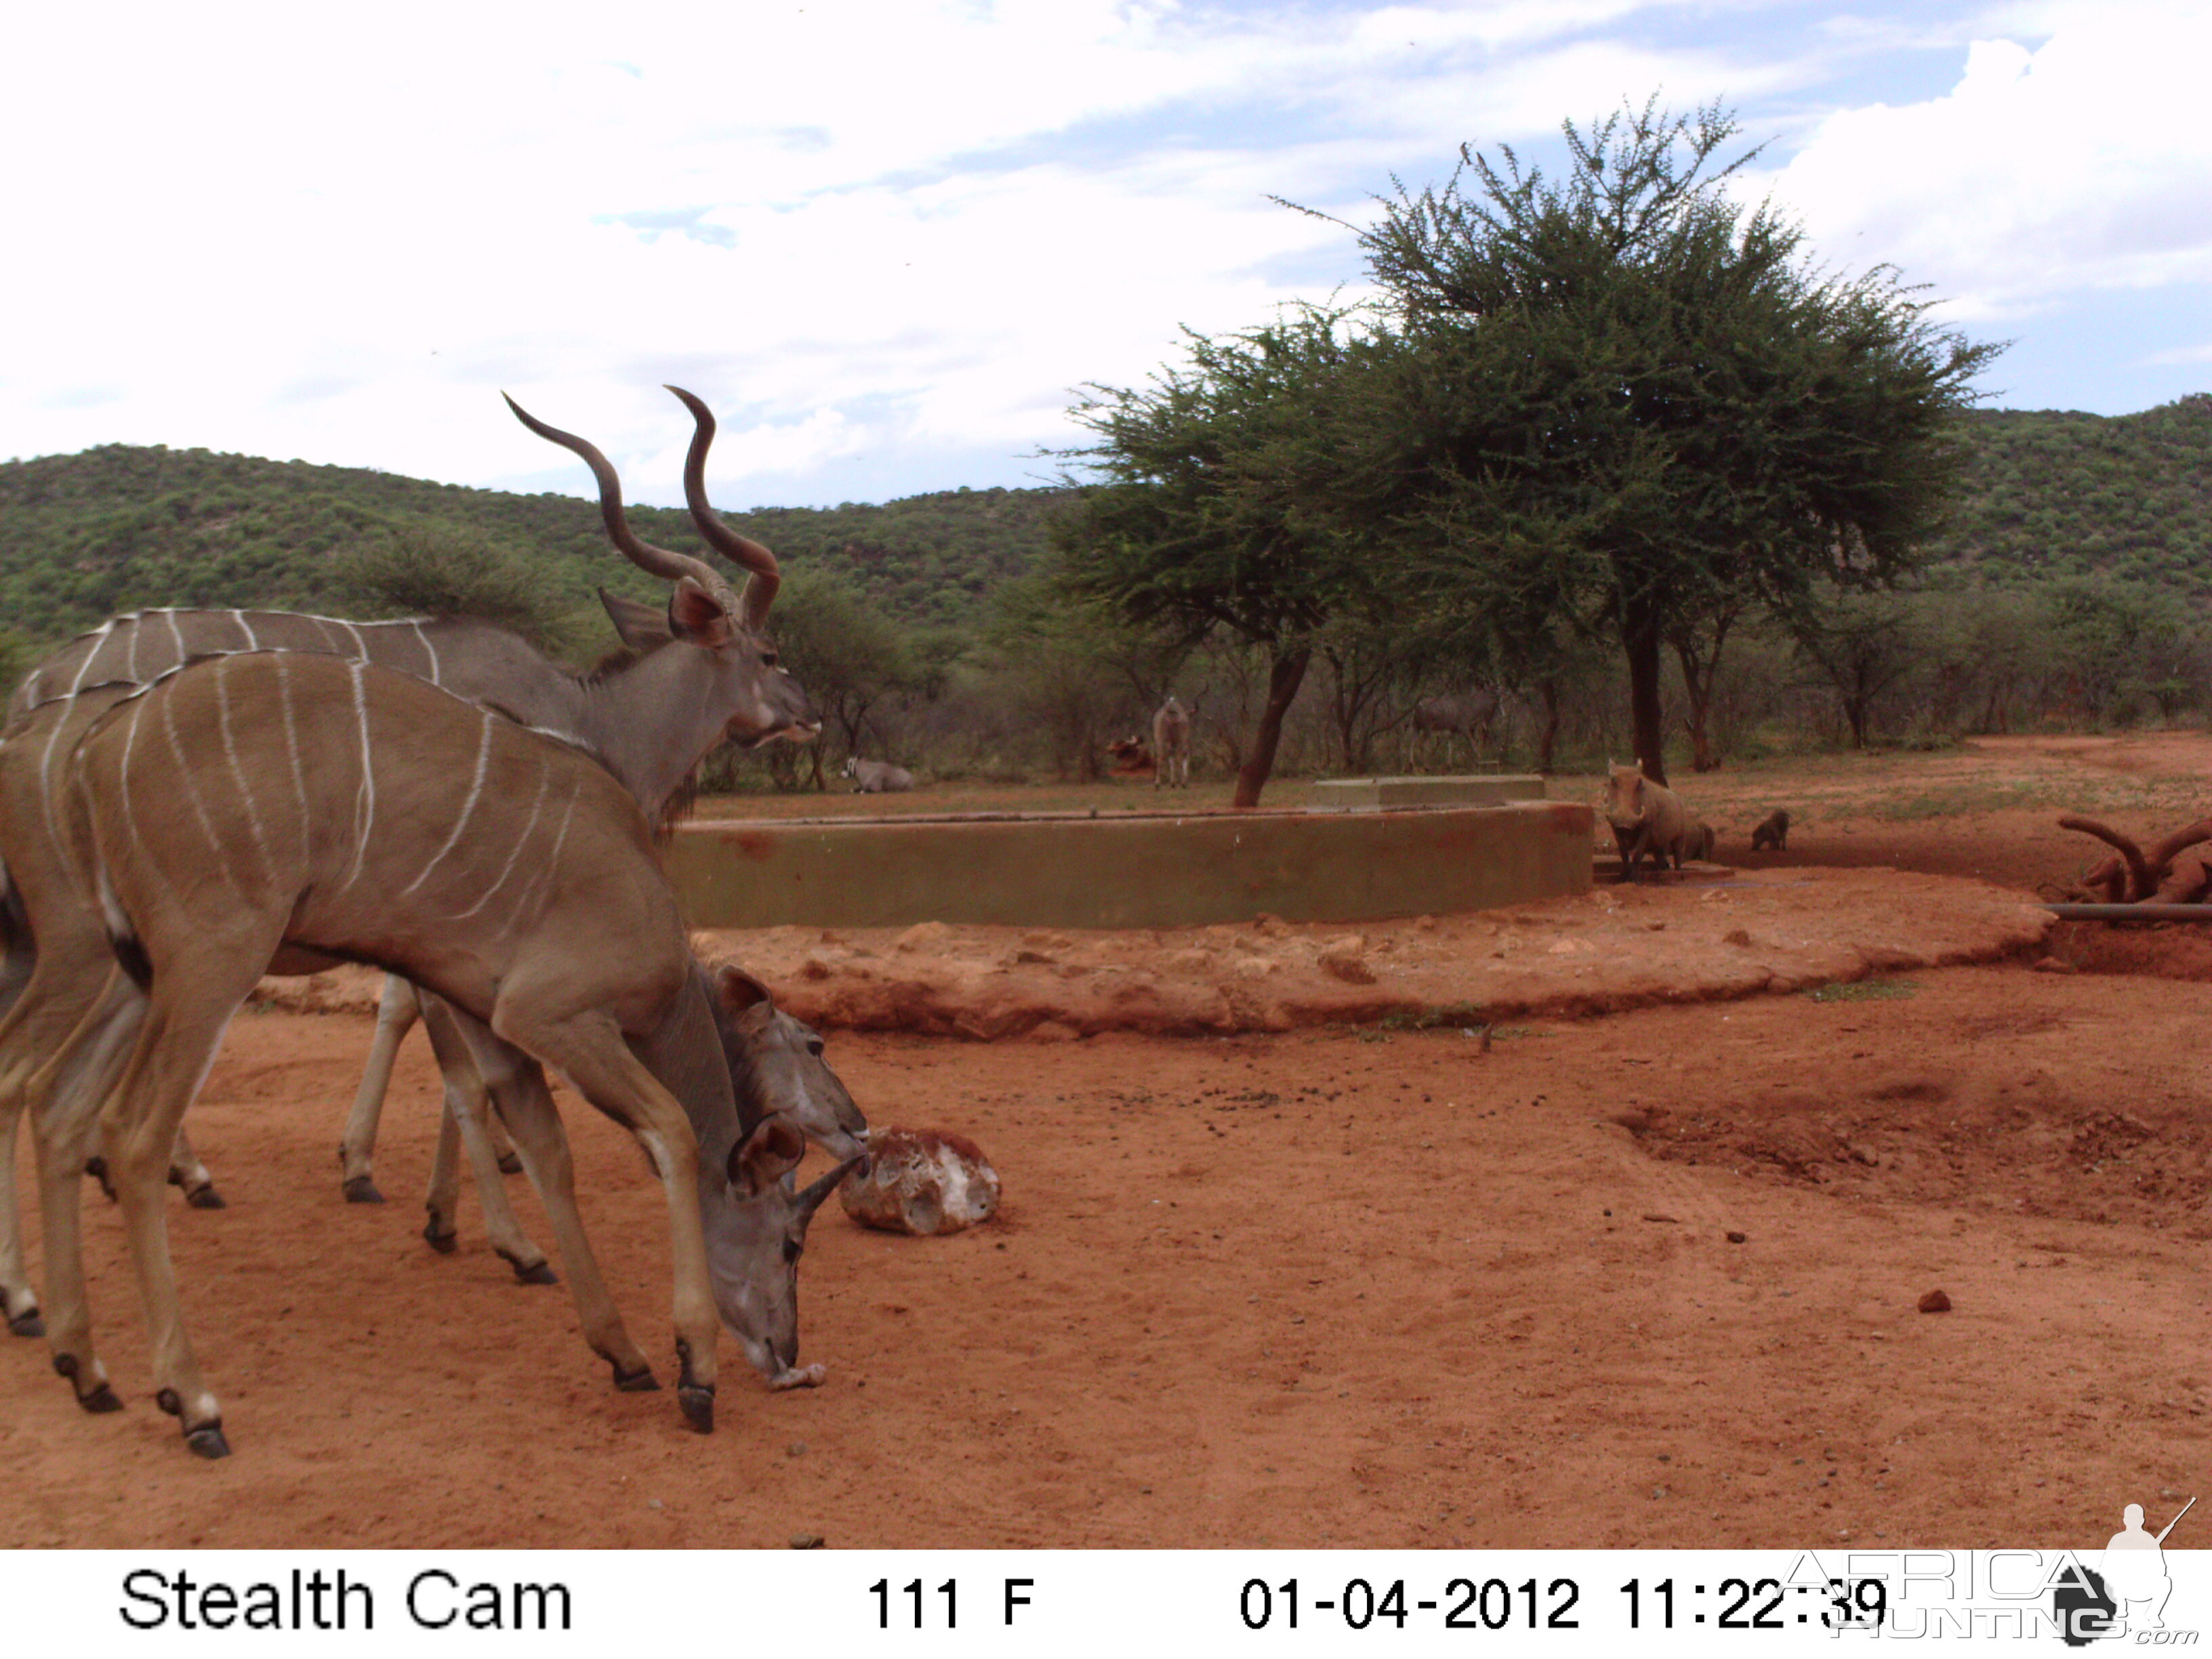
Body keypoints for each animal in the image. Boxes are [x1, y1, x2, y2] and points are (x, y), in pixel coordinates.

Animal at [58, 655, 853, 1460]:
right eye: (791, 1245)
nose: (786, 1350)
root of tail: (99, 745)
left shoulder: (486, 1019)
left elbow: (544, 1148)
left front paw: (622, 1352)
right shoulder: (550, 1013)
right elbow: (670, 1132)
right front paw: (694, 1367)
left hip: (138, 972)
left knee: (65, 1105)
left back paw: (89, 1370)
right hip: (212, 959)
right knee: (132, 1134)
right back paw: (193, 1402)